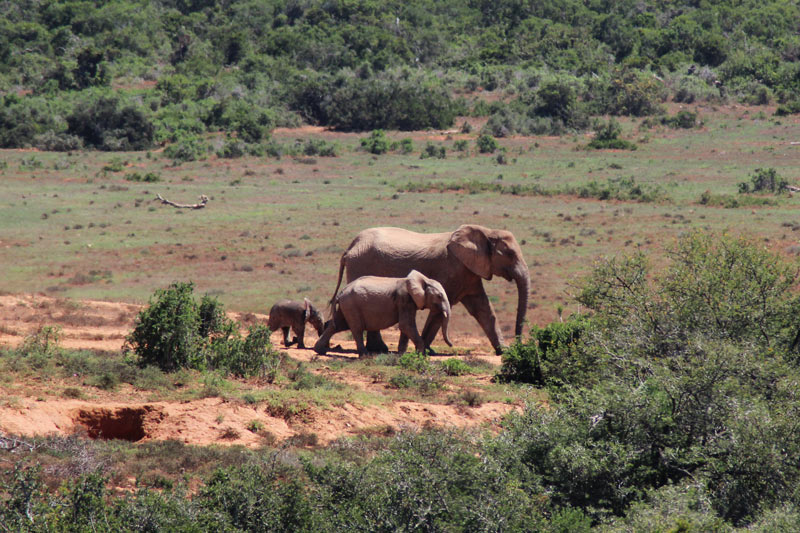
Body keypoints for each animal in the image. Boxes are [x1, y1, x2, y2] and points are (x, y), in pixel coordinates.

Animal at [316, 270, 454, 358]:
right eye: (439, 296)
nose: (451, 345)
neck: (423, 279)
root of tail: (341, 292)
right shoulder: (404, 299)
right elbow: (406, 325)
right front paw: (421, 355)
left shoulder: (407, 302)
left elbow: (405, 327)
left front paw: (402, 355)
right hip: (351, 305)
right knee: (356, 328)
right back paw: (365, 355)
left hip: (346, 305)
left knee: (337, 325)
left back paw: (320, 351)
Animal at [324, 223, 532, 354]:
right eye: (510, 254)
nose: (519, 346)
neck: (486, 231)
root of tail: (350, 247)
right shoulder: (452, 269)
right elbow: (440, 311)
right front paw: (426, 349)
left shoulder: (469, 272)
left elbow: (483, 310)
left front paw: (503, 351)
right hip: (360, 265)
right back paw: (378, 349)